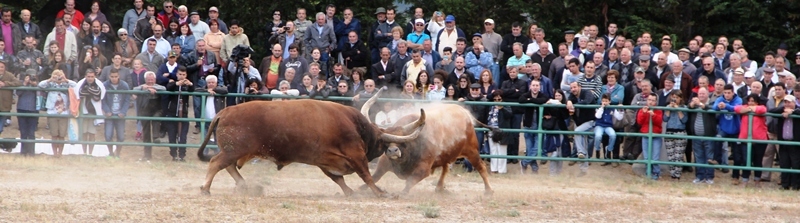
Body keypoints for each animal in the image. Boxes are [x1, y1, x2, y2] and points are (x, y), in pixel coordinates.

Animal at [198, 89, 424, 197]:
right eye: (382, 143)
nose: (393, 151)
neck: (355, 126)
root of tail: (225, 111)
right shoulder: (355, 155)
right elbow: (366, 176)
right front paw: (381, 193)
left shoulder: (325, 161)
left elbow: (338, 179)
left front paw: (349, 192)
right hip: (233, 150)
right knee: (216, 163)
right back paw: (205, 188)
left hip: (235, 152)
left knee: (228, 167)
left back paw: (245, 186)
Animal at [360, 100, 494, 194]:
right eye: (386, 143)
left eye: (403, 142)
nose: (393, 150)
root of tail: (465, 113)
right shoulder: (383, 164)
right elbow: (374, 177)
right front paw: (361, 188)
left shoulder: (423, 169)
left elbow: (410, 181)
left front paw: (400, 193)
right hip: (447, 154)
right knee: (445, 168)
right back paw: (439, 188)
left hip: (472, 151)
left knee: (481, 167)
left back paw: (488, 190)